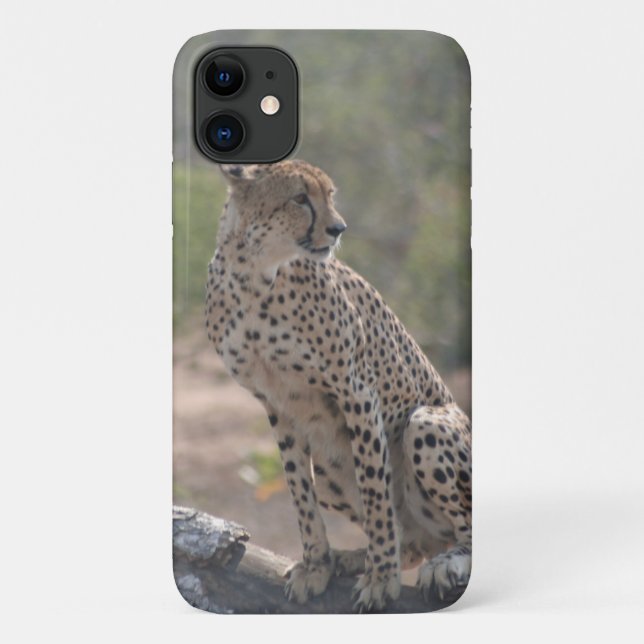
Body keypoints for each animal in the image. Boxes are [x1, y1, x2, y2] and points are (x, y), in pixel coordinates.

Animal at [205, 160, 472, 612]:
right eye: (300, 198)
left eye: (329, 195)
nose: (338, 228)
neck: (255, 274)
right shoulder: (277, 403)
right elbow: (299, 490)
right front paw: (317, 564)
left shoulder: (356, 391)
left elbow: (376, 493)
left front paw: (380, 577)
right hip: (330, 469)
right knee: (416, 543)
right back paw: (352, 558)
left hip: (425, 422)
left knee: (462, 529)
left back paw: (445, 563)